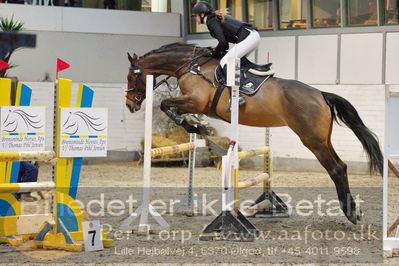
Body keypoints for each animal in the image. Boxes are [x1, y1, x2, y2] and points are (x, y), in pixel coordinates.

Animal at [127, 42, 384, 224]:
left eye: (131, 76)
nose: (130, 105)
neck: (191, 66)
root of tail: (321, 94)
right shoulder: (194, 103)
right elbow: (169, 107)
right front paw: (195, 125)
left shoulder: (196, 101)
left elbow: (166, 105)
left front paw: (194, 126)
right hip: (323, 138)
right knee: (342, 165)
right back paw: (354, 210)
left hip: (312, 139)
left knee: (336, 169)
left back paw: (350, 213)